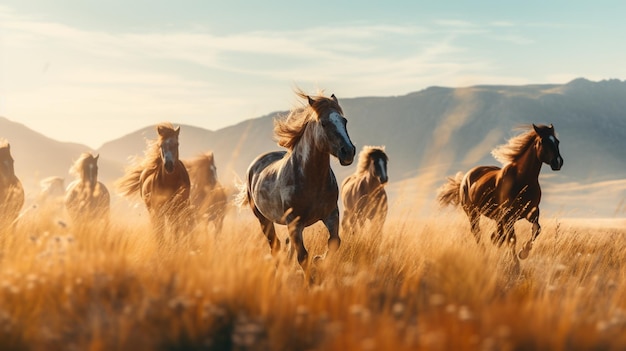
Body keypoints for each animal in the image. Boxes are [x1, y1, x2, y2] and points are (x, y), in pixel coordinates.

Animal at [236, 91, 354, 272]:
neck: (312, 180)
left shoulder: (331, 214)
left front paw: (319, 259)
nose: (348, 151)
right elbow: (303, 257)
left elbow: (334, 242)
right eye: (324, 123)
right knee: (275, 246)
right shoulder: (294, 222)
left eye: (344, 121)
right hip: (264, 220)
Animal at [436, 125, 564, 260]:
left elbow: (536, 229)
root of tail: (465, 178)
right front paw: (515, 262)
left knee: (496, 236)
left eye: (557, 141)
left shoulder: (532, 213)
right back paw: (484, 253)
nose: (558, 162)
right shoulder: (508, 216)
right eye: (543, 141)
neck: (522, 180)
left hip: (497, 218)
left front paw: (523, 252)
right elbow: (512, 239)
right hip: (473, 213)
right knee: (477, 232)